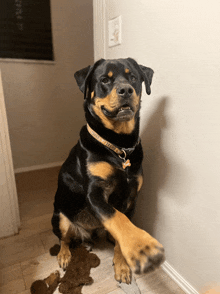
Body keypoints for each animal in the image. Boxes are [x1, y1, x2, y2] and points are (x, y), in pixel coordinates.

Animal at [52, 56, 165, 284]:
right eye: (104, 79)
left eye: (133, 77)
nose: (126, 90)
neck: (119, 146)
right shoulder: (95, 192)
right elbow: (117, 218)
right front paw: (140, 245)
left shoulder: (131, 197)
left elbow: (122, 225)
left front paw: (122, 264)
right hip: (60, 218)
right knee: (64, 239)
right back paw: (64, 255)